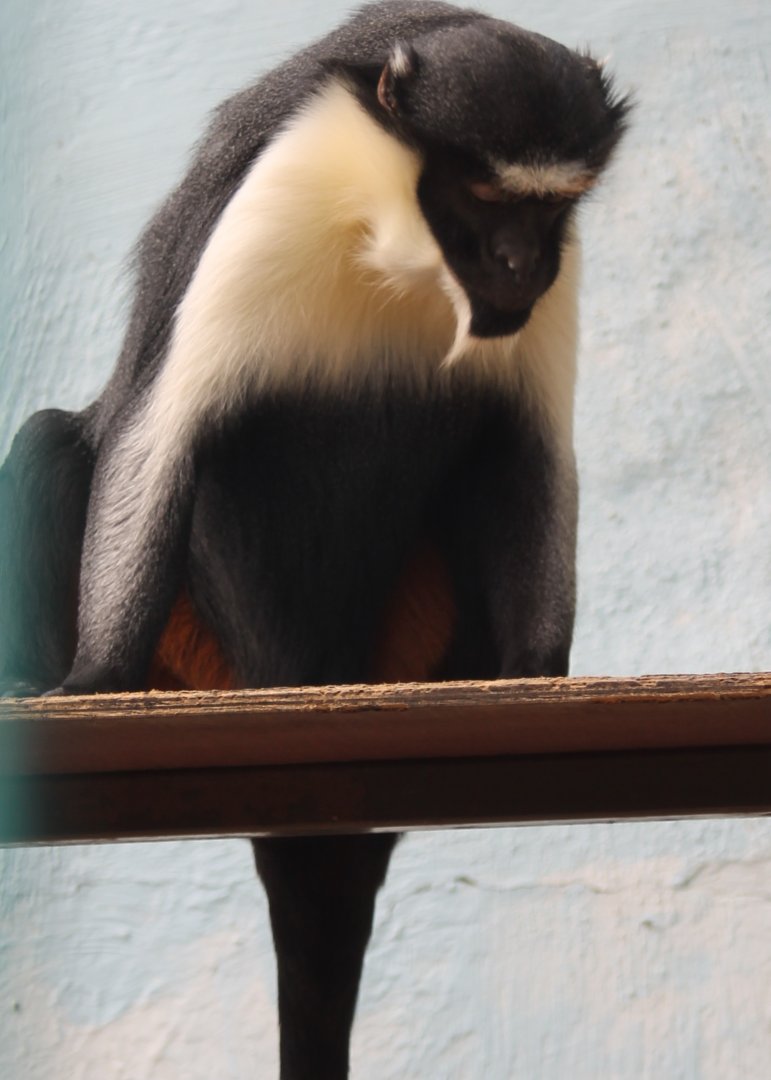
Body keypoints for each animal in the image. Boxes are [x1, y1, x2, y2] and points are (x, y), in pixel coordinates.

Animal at [0, 3, 630, 1076]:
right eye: (479, 194)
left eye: (551, 210)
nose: (519, 265)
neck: (401, 243)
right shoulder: (279, 184)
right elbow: (156, 437)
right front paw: (93, 683)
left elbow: (530, 461)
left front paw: (539, 677)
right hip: (204, 657)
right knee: (52, 445)